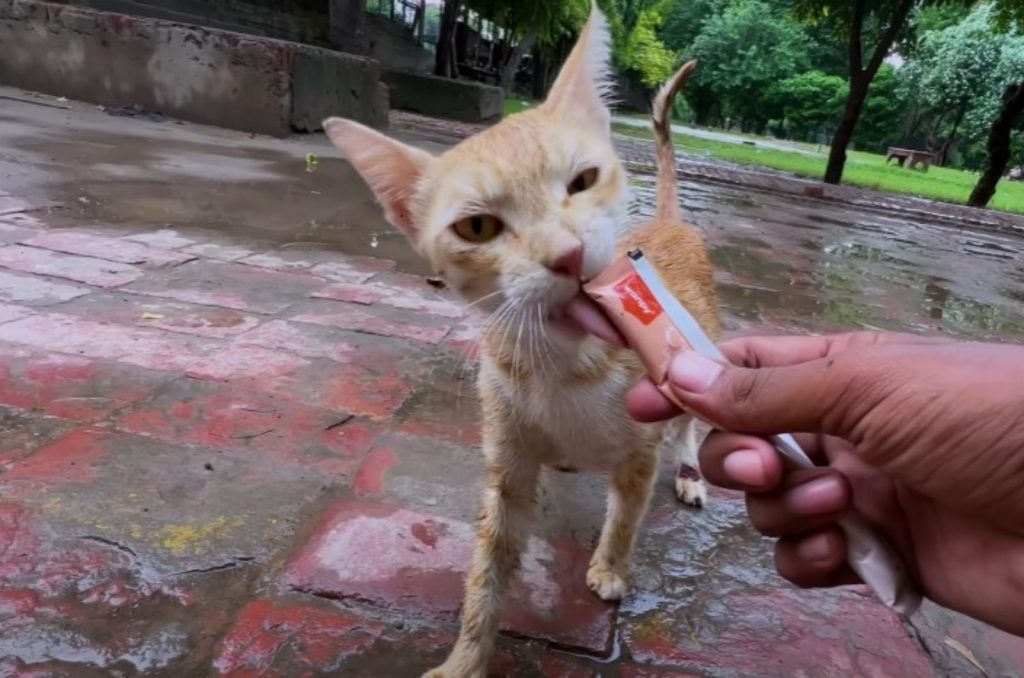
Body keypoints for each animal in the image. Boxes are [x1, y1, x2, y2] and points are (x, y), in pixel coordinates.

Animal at [323, 6, 716, 678]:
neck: (566, 366)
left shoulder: (639, 449)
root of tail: (668, 223)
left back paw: (689, 468)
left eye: (583, 180)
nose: (568, 256)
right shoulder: (506, 458)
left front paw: (611, 566)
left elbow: (628, 510)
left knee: (688, 418)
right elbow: (489, 565)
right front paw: (466, 656)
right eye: (478, 227)